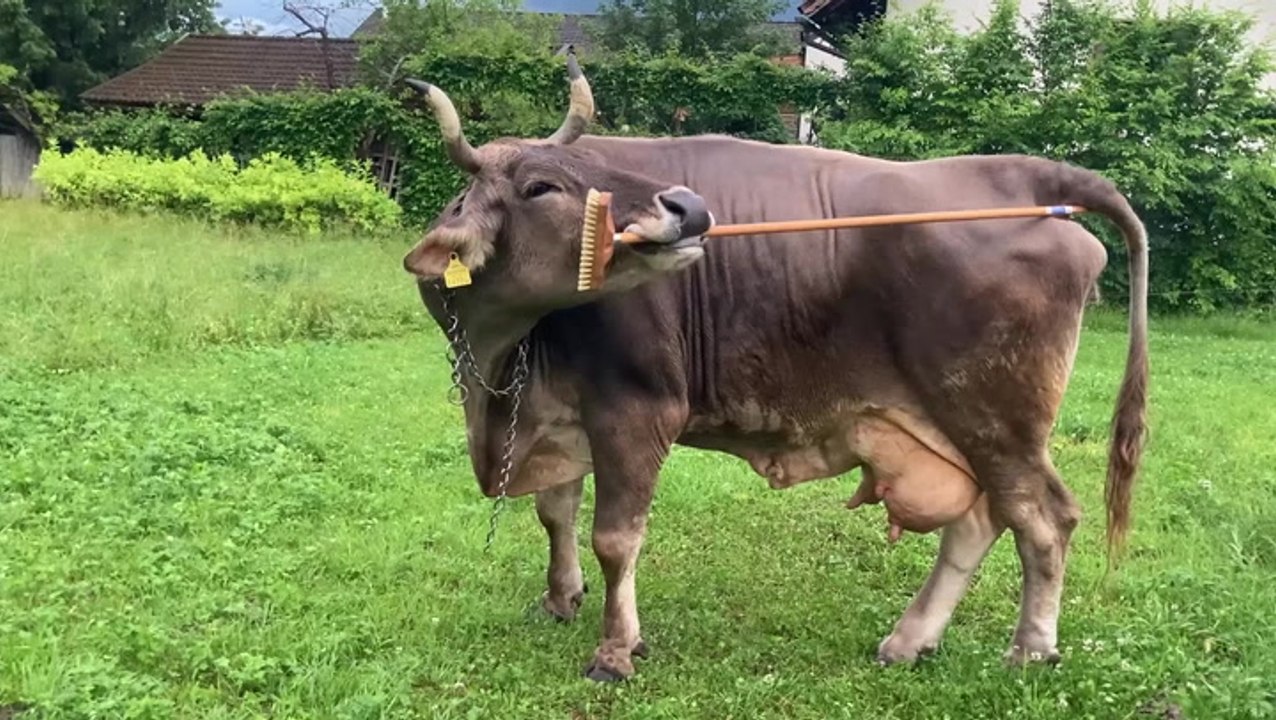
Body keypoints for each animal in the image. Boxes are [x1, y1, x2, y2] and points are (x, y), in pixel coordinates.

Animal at [401, 57, 1149, 682]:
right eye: (541, 185)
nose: (689, 206)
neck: (502, 363)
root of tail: (1022, 173)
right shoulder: (560, 413)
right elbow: (555, 511)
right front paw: (560, 597)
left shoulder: (636, 410)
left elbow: (615, 538)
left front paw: (616, 650)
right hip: (957, 426)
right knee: (980, 520)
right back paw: (910, 640)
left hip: (997, 418)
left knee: (1044, 519)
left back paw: (1030, 648)